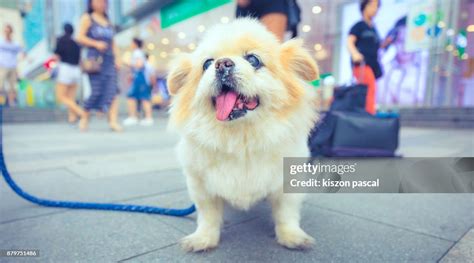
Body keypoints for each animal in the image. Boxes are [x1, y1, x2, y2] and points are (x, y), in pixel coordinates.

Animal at [167, 17, 318, 253]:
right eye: (207, 64)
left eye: (253, 60)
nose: (222, 64)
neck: (241, 140)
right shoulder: (201, 186)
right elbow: (208, 216)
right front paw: (204, 239)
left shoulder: (286, 185)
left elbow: (286, 213)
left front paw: (292, 236)